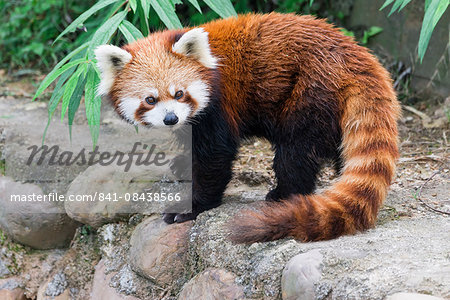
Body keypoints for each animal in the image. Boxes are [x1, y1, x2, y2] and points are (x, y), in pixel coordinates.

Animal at [96, 12, 400, 243]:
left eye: (179, 94)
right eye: (151, 99)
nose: (170, 118)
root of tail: (357, 55)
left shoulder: (218, 106)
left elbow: (215, 156)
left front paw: (191, 207)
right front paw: (180, 166)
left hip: (310, 91)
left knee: (296, 152)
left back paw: (283, 194)